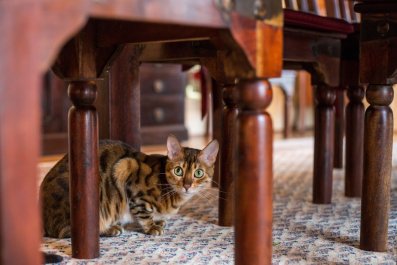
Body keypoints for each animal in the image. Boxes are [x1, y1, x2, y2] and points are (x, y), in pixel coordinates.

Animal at [39, 134, 218, 237]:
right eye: (178, 170)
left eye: (198, 173)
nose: (187, 185)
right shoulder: (127, 168)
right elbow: (143, 213)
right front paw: (151, 227)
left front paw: (158, 221)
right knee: (65, 232)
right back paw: (109, 229)